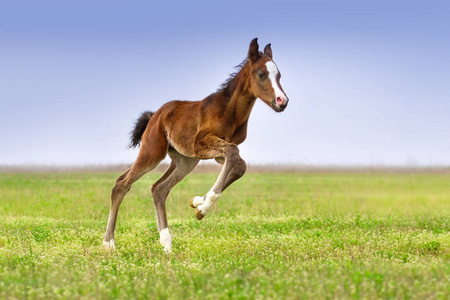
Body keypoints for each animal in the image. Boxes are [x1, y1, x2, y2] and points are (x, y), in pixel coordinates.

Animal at [103, 38, 290, 253]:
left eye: (279, 75)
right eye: (261, 74)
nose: (282, 101)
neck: (230, 111)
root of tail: (155, 115)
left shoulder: (216, 153)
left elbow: (239, 165)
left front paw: (198, 203)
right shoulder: (200, 144)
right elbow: (233, 154)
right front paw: (204, 206)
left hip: (185, 161)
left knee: (159, 189)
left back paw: (166, 243)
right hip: (153, 152)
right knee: (122, 184)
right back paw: (109, 243)